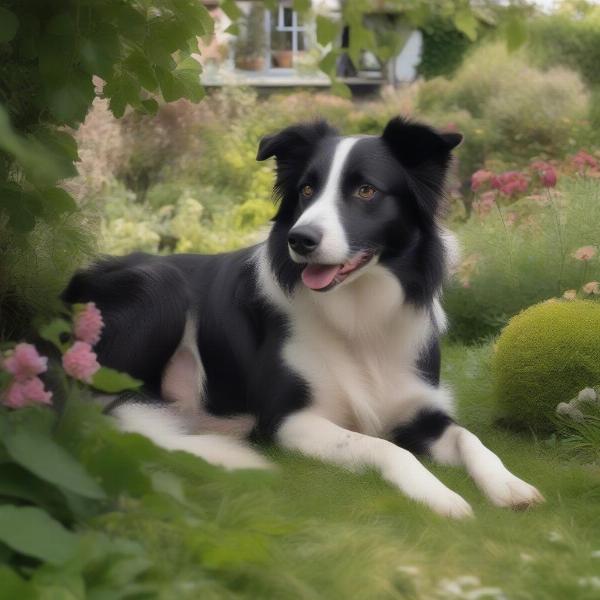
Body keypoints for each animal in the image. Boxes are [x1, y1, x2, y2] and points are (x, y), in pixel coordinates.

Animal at [64, 118, 544, 520]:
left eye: (366, 191)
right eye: (307, 191)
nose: (301, 239)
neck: (358, 317)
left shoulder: (420, 411)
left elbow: (471, 439)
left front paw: (508, 484)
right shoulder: (290, 421)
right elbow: (383, 446)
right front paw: (438, 495)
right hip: (159, 285)